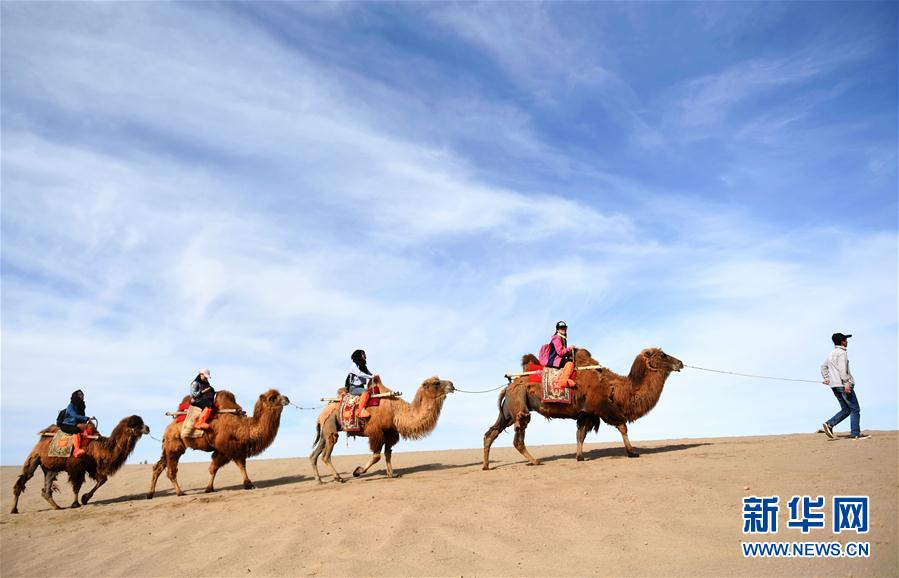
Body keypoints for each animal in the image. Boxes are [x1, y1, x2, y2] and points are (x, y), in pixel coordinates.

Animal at [11, 414, 151, 512]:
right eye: (135, 424)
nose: (148, 428)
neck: (97, 447)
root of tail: (42, 437)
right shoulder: (77, 466)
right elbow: (76, 486)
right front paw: (76, 503)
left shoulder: (91, 466)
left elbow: (102, 480)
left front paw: (85, 498)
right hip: (35, 458)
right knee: (25, 478)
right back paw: (14, 509)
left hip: (50, 467)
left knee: (47, 486)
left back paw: (57, 506)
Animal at [147, 388, 288, 496]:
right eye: (272, 398)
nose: (287, 398)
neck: (243, 427)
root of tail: (168, 427)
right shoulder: (229, 447)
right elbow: (239, 465)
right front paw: (249, 484)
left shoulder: (225, 450)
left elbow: (213, 468)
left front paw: (209, 488)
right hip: (174, 445)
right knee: (171, 470)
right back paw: (180, 492)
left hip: (168, 446)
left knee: (158, 466)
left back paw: (150, 494)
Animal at [312, 374, 458, 482]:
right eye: (436, 383)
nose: (452, 384)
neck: (395, 411)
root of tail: (321, 414)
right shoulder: (376, 432)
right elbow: (377, 456)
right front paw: (357, 471)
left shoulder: (390, 432)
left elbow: (388, 453)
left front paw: (391, 474)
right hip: (330, 424)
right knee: (326, 454)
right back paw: (338, 477)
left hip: (326, 430)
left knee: (315, 453)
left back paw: (319, 480)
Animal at [486, 346, 684, 468]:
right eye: (663, 355)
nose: (680, 363)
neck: (614, 388)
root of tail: (509, 386)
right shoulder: (603, 408)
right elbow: (622, 427)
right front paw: (632, 452)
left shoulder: (586, 414)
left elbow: (580, 435)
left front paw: (579, 457)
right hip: (520, 406)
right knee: (517, 438)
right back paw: (535, 461)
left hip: (508, 411)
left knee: (492, 432)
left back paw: (486, 466)